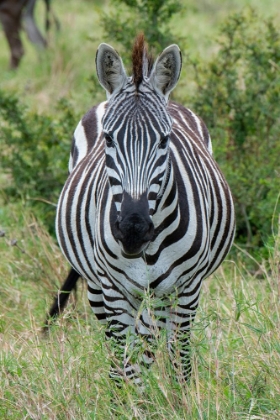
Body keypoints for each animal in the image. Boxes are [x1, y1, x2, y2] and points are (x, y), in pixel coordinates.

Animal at [47, 34, 235, 386]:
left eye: (164, 141)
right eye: (108, 139)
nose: (133, 230)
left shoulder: (186, 287)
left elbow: (177, 357)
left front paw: (178, 397)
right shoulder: (114, 289)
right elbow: (126, 362)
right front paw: (129, 397)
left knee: (160, 341)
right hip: (98, 287)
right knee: (118, 348)